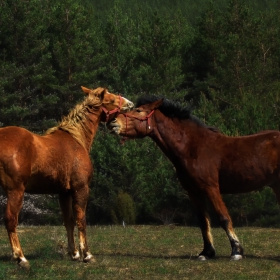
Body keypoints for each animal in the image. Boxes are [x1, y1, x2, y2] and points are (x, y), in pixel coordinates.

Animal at [0, 86, 135, 268]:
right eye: (111, 99)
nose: (130, 103)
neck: (76, 139)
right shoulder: (80, 188)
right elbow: (81, 219)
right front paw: (86, 254)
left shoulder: (63, 192)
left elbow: (68, 221)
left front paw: (74, 253)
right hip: (16, 191)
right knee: (11, 219)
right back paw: (20, 257)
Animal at [110, 95, 280, 260]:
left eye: (138, 110)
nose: (113, 123)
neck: (193, 147)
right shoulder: (193, 191)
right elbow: (203, 221)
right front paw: (207, 253)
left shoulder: (211, 188)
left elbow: (224, 217)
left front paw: (236, 251)